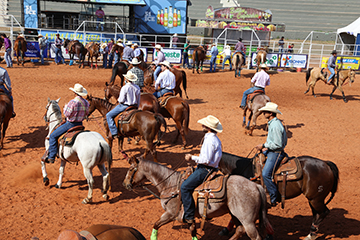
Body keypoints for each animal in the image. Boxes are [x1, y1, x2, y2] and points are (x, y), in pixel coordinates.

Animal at [123, 157, 272, 240]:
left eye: (130, 169)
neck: (170, 184)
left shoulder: (170, 213)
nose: (125, 184)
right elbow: (192, 230)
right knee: (239, 230)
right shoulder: (189, 216)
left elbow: (156, 224)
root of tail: (256, 186)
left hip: (248, 222)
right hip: (235, 214)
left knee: (254, 236)